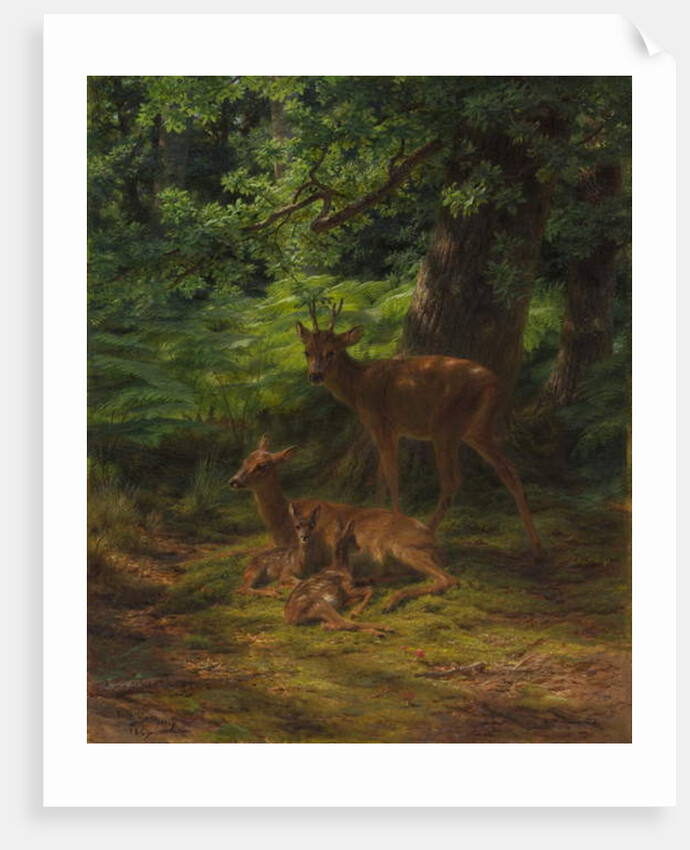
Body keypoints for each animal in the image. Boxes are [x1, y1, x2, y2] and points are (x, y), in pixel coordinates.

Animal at [229, 436, 457, 611]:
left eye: (262, 465)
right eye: (245, 459)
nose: (233, 481)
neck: (282, 523)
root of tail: (438, 545)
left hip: (402, 546)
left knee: (447, 579)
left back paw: (390, 601)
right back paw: (370, 582)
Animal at [296, 298, 543, 560]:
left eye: (330, 352)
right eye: (307, 352)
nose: (315, 375)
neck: (358, 386)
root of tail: (494, 383)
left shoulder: (382, 424)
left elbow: (392, 476)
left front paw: (390, 523)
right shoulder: (389, 430)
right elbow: (381, 475)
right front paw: (377, 515)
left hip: (446, 428)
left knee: (452, 480)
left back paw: (428, 534)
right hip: (476, 430)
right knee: (509, 469)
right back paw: (537, 547)